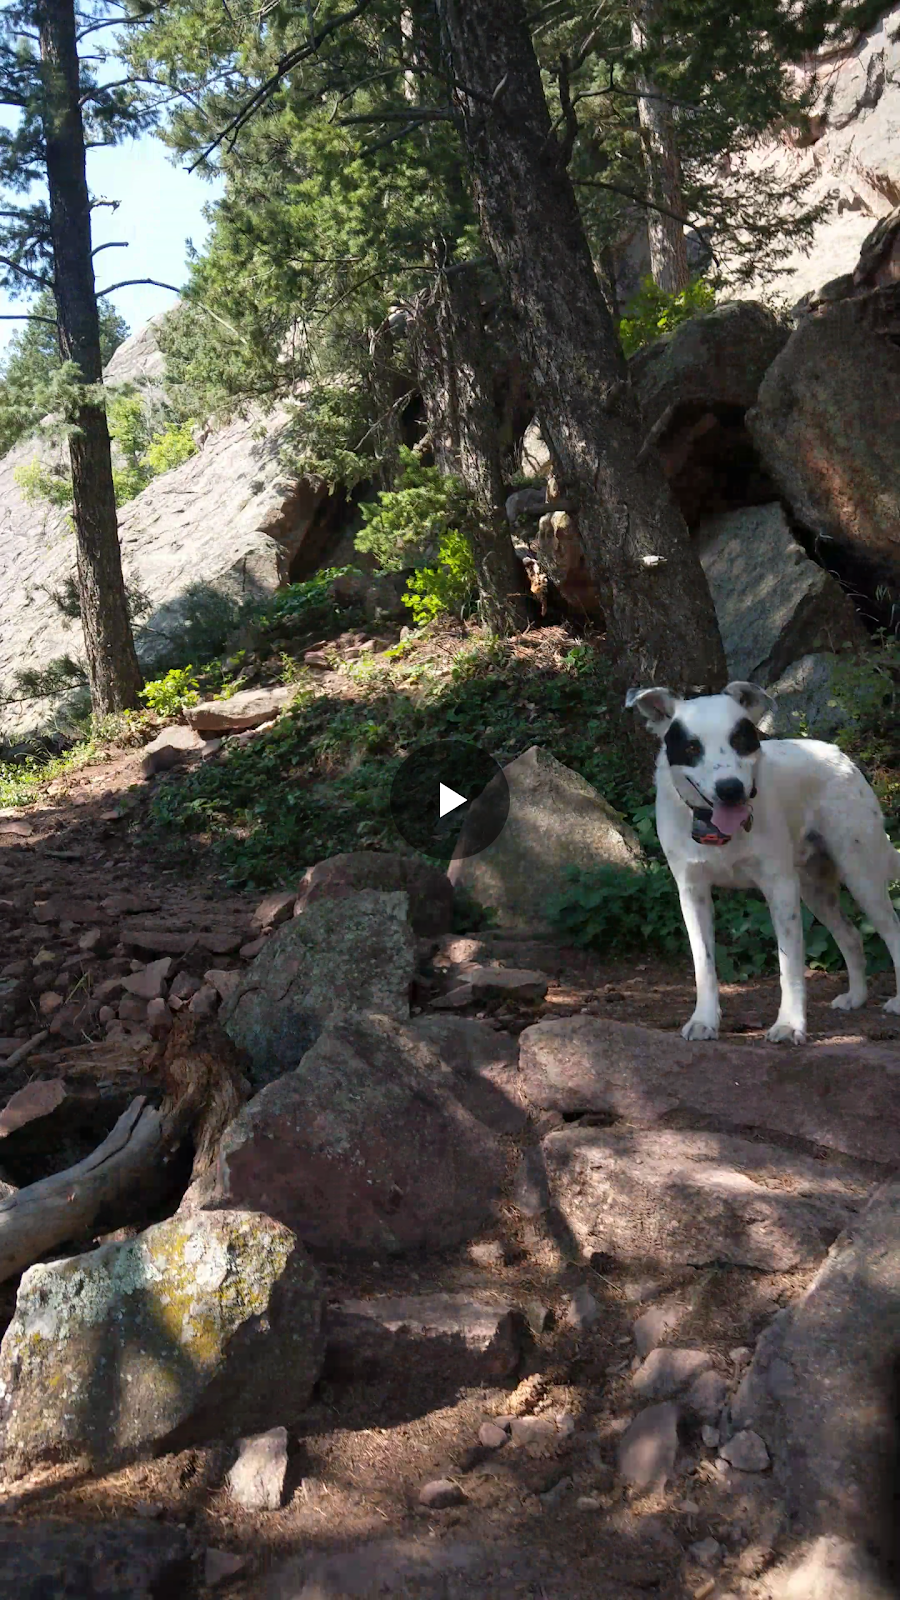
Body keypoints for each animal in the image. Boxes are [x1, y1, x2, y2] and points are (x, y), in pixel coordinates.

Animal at [624, 678, 896, 1043]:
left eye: (740, 739)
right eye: (692, 747)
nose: (730, 789)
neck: (718, 829)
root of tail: (837, 753)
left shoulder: (780, 890)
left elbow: (789, 965)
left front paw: (790, 1024)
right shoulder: (692, 893)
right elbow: (703, 964)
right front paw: (704, 1019)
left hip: (861, 876)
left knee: (892, 930)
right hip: (815, 890)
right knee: (851, 936)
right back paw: (856, 996)